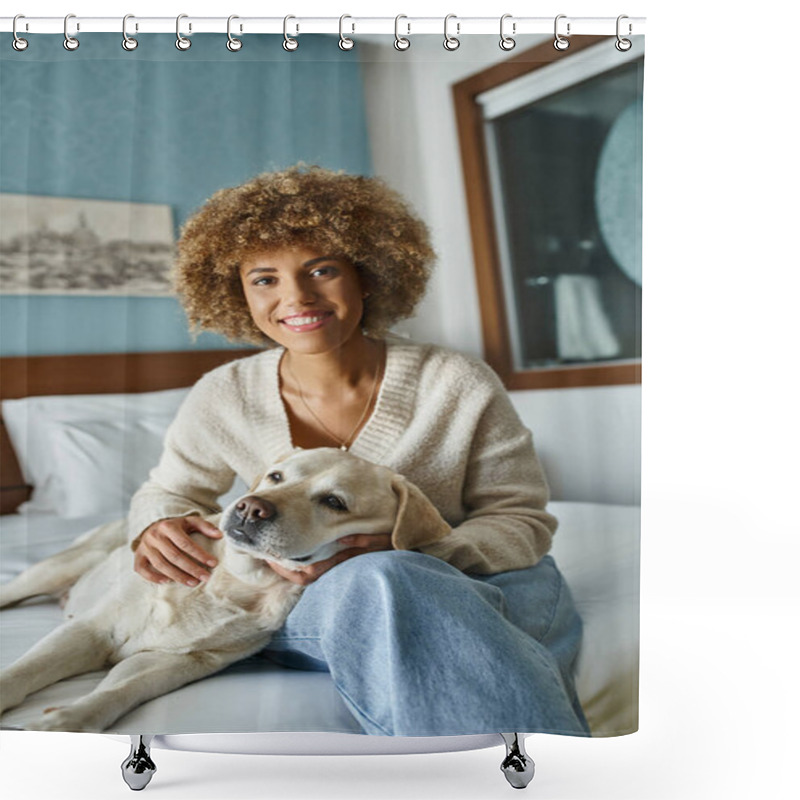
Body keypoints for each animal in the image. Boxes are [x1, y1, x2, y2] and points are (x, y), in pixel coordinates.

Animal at [0, 450, 450, 732]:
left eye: (334, 502)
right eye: (276, 476)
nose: (250, 507)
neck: (234, 582)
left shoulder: (171, 662)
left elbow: (118, 690)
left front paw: (66, 720)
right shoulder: (90, 631)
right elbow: (24, 670)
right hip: (55, 568)